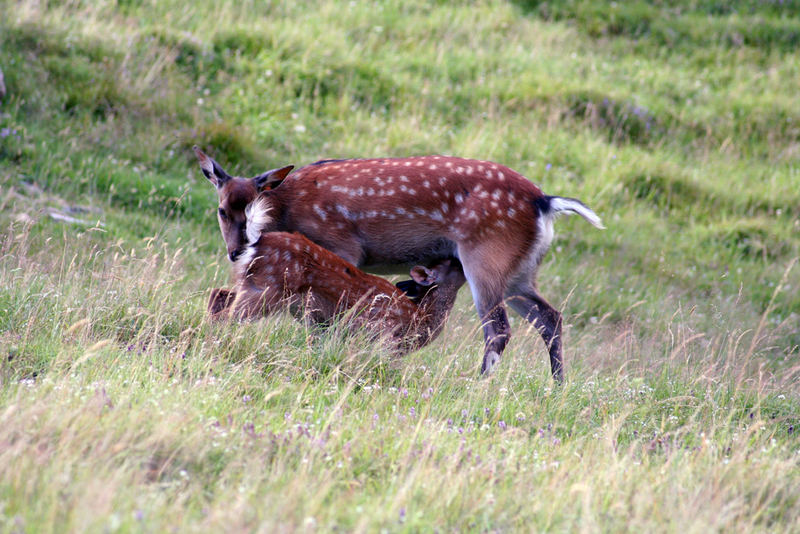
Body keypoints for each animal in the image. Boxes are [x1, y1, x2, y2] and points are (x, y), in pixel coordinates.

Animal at [209, 193, 466, 356]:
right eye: (449, 263)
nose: (458, 256)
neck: (419, 318)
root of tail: (256, 241)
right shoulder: (375, 329)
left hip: (252, 285)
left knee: (217, 295)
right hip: (268, 290)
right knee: (225, 315)